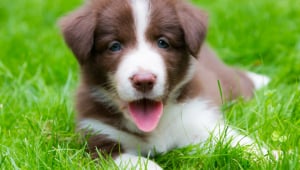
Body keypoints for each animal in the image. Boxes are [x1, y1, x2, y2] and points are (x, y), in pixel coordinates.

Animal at [59, 0, 274, 168]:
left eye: (163, 42)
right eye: (114, 46)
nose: (144, 80)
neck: (155, 127)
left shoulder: (197, 118)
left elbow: (235, 140)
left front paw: (272, 156)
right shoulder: (99, 139)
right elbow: (137, 163)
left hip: (227, 82)